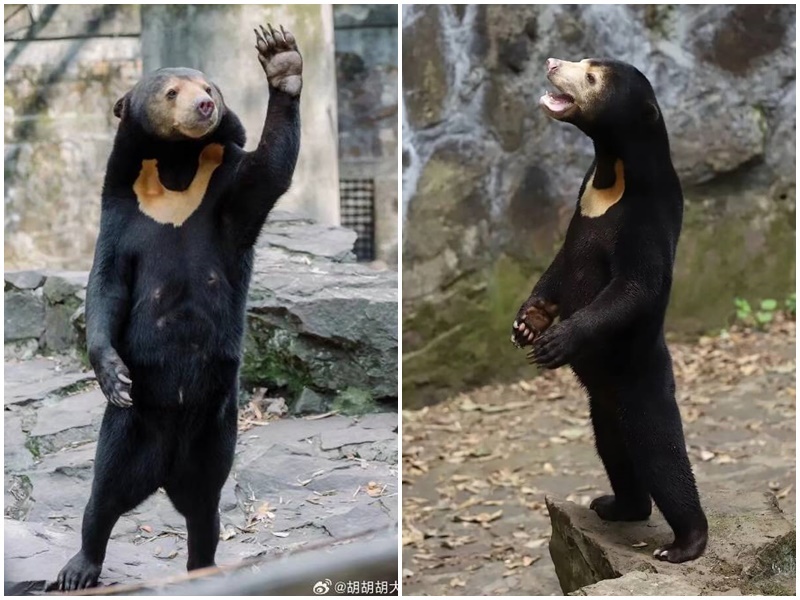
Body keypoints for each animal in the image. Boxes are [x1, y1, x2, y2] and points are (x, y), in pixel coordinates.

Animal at [55, 24, 302, 591]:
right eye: (172, 92)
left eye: (207, 84)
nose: (207, 104)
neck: (176, 171)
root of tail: (165, 470)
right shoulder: (123, 213)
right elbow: (106, 284)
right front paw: (112, 373)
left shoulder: (225, 195)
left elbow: (267, 174)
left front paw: (281, 57)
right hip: (129, 429)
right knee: (103, 495)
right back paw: (79, 567)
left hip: (218, 428)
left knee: (205, 510)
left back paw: (203, 567)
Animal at [511, 58, 708, 563]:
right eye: (584, 61)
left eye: (591, 77)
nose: (551, 62)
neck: (611, 171)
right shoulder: (580, 206)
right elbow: (560, 264)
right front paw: (526, 324)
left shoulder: (645, 218)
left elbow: (634, 286)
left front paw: (555, 342)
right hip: (602, 406)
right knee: (615, 451)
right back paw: (616, 505)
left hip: (640, 383)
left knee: (660, 454)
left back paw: (685, 543)